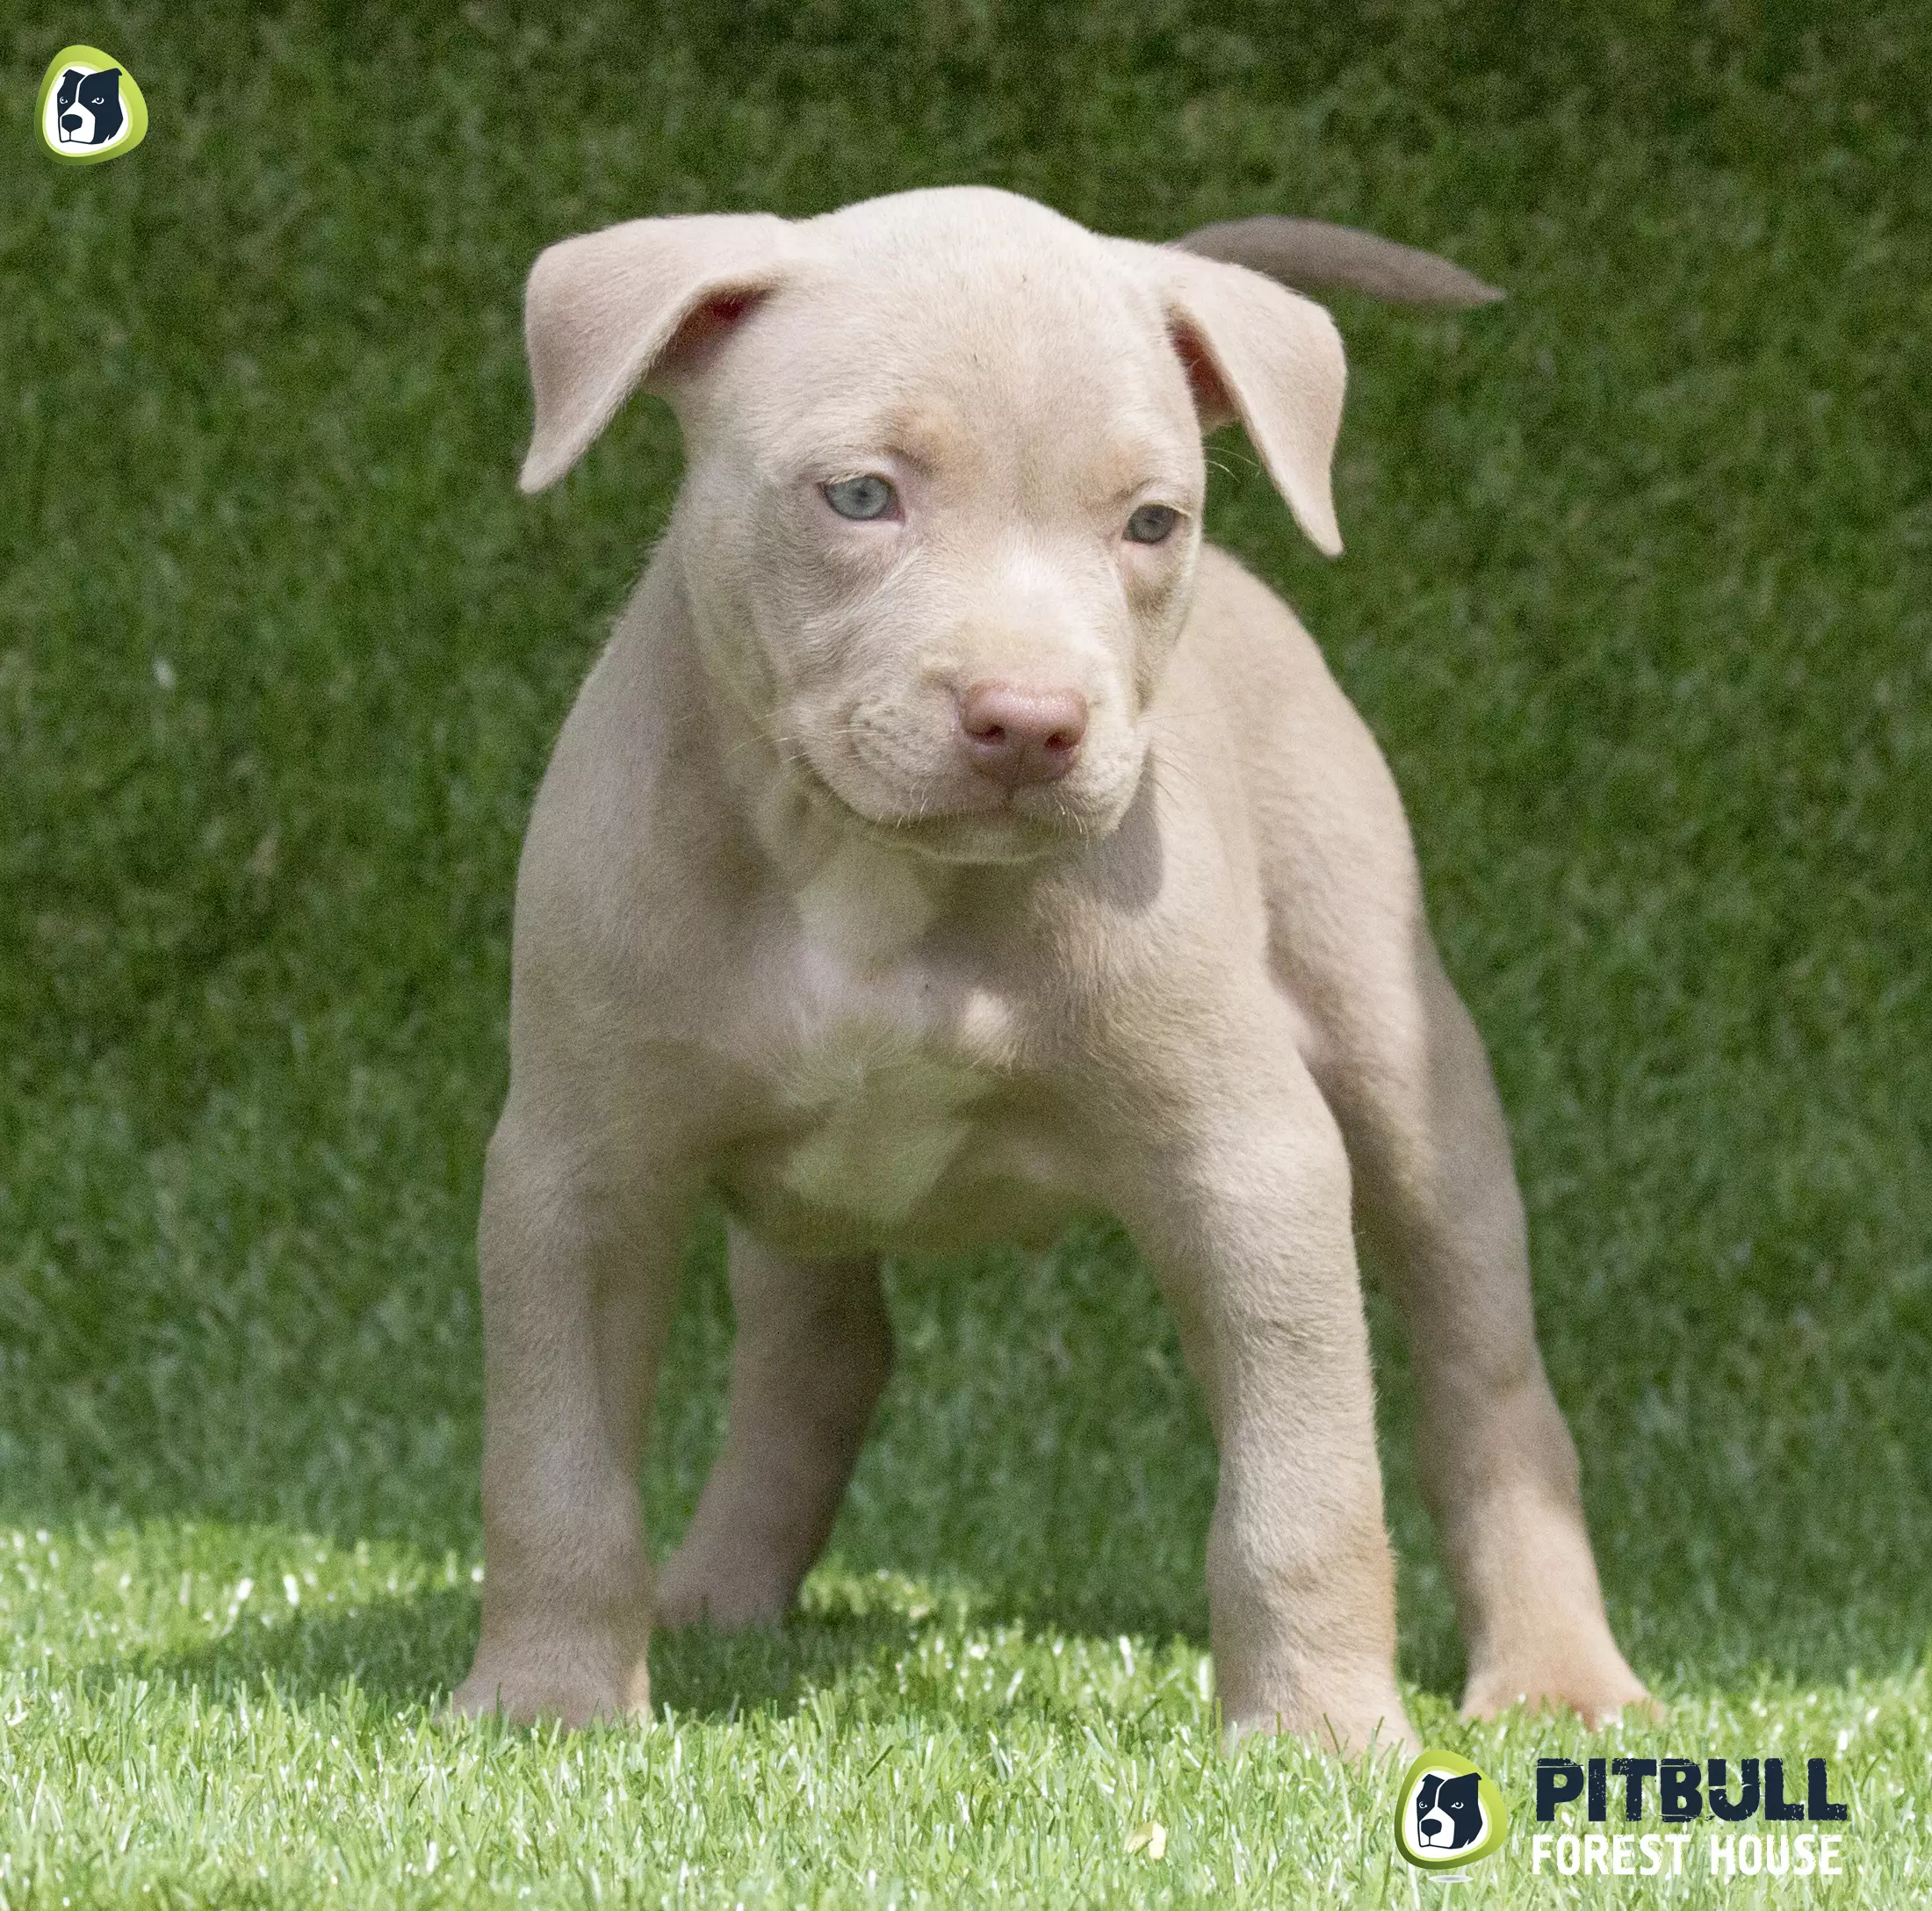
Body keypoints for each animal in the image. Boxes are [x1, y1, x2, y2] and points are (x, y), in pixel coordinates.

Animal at [451, 186, 1646, 1754]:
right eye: (860, 496)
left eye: (1149, 523)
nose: (1029, 723)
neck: (874, 873)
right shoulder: (579, 1170)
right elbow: (555, 1471)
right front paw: (549, 1702)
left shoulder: (1249, 1164)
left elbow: (1305, 1485)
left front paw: (1320, 1732)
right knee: (819, 1356)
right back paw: (718, 1595)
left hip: (1403, 1068)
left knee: (1480, 1380)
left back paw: (1560, 1672)